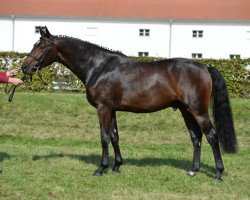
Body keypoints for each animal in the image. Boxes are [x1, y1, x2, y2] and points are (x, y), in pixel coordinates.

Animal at [21, 26, 236, 180]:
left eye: (41, 47)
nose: (25, 67)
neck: (98, 66)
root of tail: (205, 67)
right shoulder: (112, 110)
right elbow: (115, 136)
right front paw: (117, 166)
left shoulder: (103, 108)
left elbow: (104, 137)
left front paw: (101, 168)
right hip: (186, 110)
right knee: (196, 137)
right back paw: (193, 170)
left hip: (198, 111)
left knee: (211, 136)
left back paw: (218, 173)